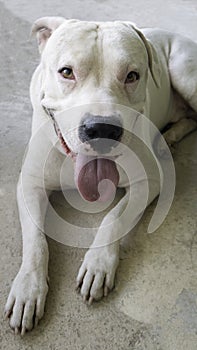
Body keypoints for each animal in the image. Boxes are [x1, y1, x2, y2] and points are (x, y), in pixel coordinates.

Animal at [5, 17, 197, 334]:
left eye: (132, 75)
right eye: (66, 72)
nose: (102, 128)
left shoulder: (149, 181)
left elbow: (113, 217)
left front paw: (98, 265)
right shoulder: (30, 185)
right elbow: (35, 242)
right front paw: (28, 289)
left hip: (184, 72)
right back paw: (169, 136)